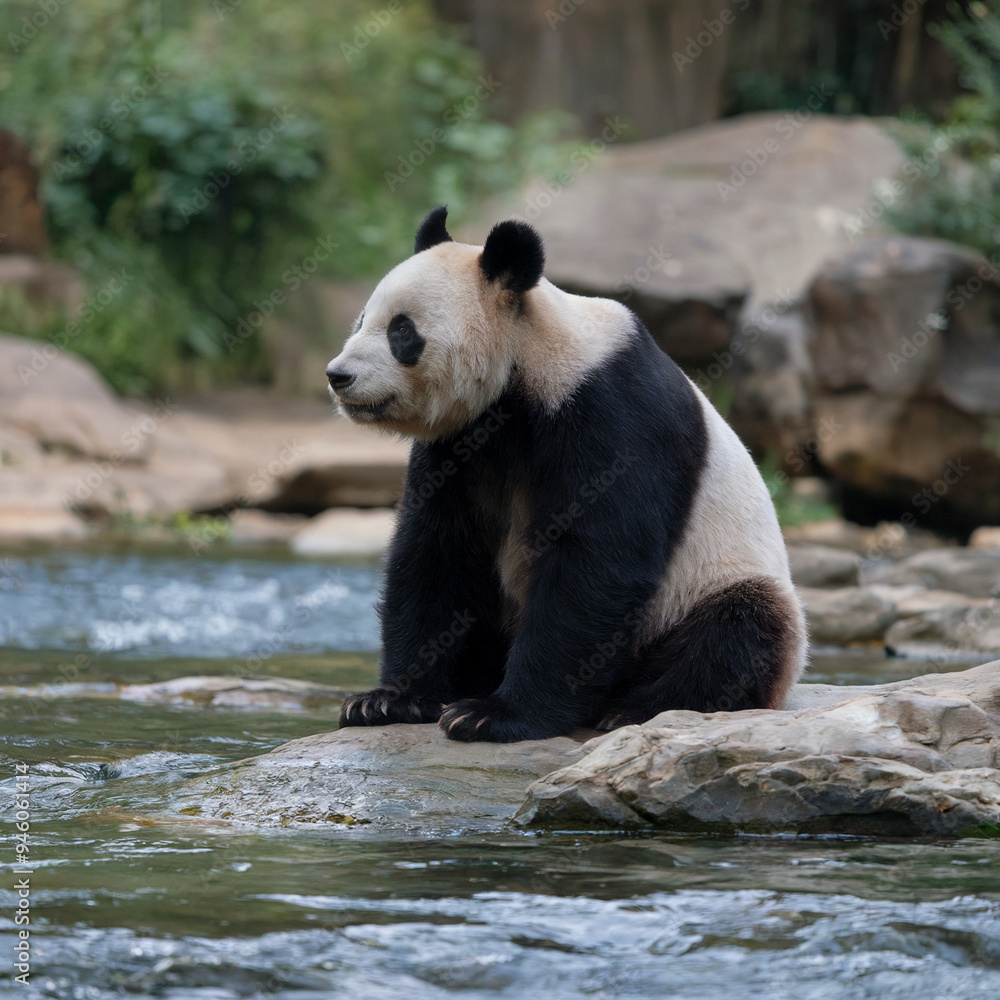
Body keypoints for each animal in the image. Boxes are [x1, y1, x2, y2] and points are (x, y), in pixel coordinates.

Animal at [328, 206, 807, 742]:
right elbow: (436, 549)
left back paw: (635, 706)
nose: (339, 375)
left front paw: (493, 713)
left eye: (402, 332)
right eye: (362, 320)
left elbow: (597, 560)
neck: (527, 365)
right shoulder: (459, 443)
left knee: (739, 628)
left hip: (710, 586)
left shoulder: (614, 412)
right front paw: (388, 701)